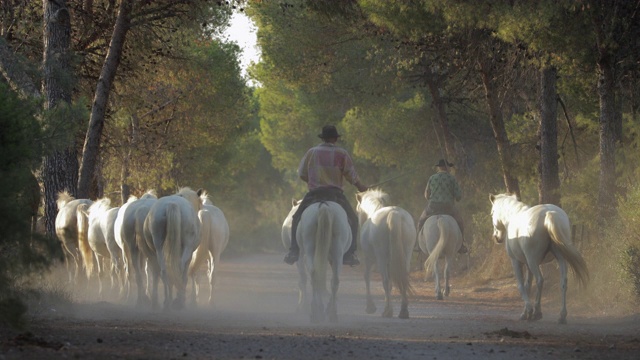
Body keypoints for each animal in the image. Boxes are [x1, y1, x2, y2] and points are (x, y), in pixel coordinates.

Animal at [356, 188, 416, 318]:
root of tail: (395, 214)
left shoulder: (368, 259)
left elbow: (367, 276)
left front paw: (370, 307)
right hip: (406, 255)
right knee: (403, 277)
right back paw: (403, 311)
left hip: (381, 258)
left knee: (385, 280)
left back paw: (387, 311)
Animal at [490, 194, 592, 324]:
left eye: (492, 213)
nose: (496, 237)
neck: (512, 217)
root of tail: (549, 213)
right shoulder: (528, 265)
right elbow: (527, 286)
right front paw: (525, 313)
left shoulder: (517, 262)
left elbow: (521, 286)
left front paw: (528, 311)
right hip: (560, 259)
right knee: (563, 283)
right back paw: (562, 316)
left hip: (533, 262)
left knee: (540, 280)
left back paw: (536, 312)